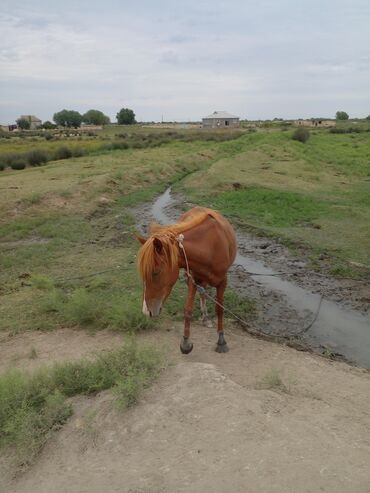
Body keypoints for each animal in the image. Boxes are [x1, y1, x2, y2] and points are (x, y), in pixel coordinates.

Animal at [136, 207, 237, 354]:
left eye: (155, 272)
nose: (146, 311)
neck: (210, 247)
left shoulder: (223, 282)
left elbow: (219, 309)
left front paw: (221, 340)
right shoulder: (192, 279)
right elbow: (188, 310)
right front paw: (185, 343)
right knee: (202, 292)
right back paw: (205, 317)